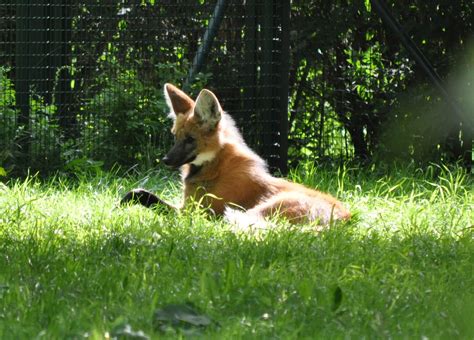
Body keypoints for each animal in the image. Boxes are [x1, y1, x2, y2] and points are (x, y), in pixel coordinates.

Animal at [120, 82, 350, 226]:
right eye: (175, 137)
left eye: (190, 139)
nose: (166, 160)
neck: (214, 166)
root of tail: (346, 218)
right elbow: (137, 192)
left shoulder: (192, 211)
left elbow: (143, 195)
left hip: (264, 208)